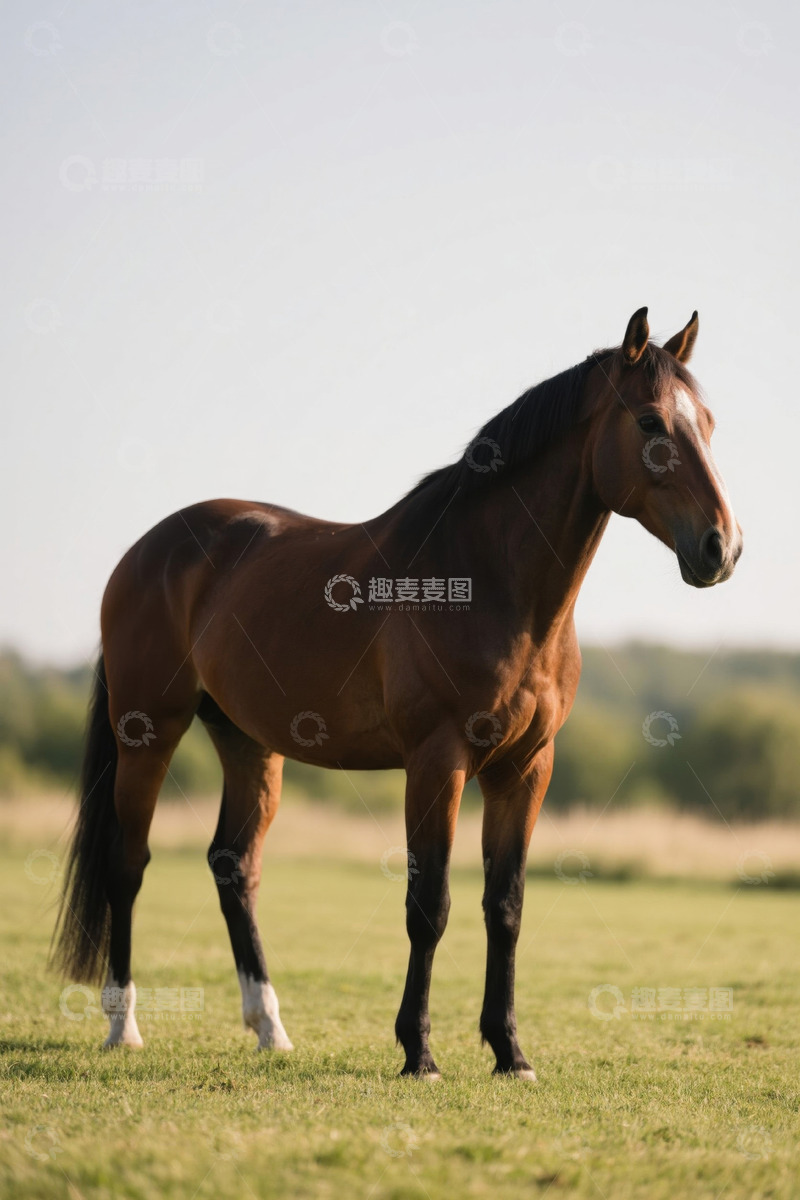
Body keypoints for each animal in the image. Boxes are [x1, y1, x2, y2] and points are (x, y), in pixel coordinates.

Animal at [52, 307, 742, 1079]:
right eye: (651, 422)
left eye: (708, 422)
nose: (721, 547)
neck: (488, 581)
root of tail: (146, 550)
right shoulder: (436, 761)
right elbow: (429, 904)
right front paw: (420, 1052)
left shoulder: (525, 768)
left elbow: (506, 906)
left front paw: (510, 1051)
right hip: (148, 732)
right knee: (127, 864)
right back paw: (124, 1026)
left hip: (248, 742)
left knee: (235, 867)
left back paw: (269, 1027)